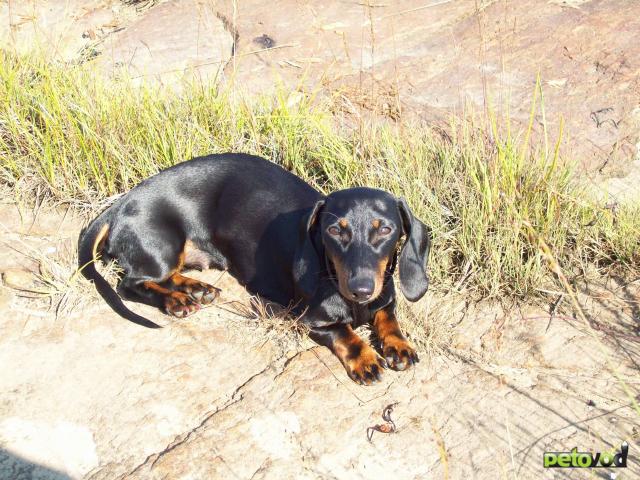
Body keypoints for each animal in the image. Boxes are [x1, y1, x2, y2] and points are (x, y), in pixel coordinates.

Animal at [80, 152, 430, 384]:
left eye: (385, 229)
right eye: (334, 230)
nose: (361, 290)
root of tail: (121, 204)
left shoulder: (385, 297)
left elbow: (388, 317)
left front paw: (399, 346)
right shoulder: (312, 320)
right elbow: (345, 333)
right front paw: (366, 359)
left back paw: (197, 289)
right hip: (163, 248)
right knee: (130, 284)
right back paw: (175, 300)